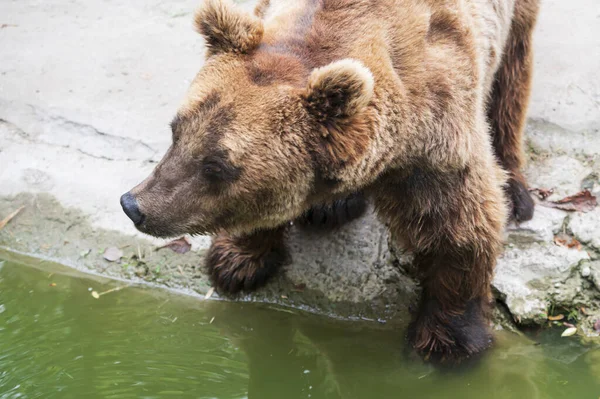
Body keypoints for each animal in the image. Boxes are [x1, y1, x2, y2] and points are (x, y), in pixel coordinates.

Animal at [120, 0, 540, 362]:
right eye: (176, 131)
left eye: (217, 166)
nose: (134, 205)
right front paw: (237, 261)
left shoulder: (434, 130)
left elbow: (456, 225)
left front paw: (447, 341)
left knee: (514, 67)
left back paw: (515, 190)